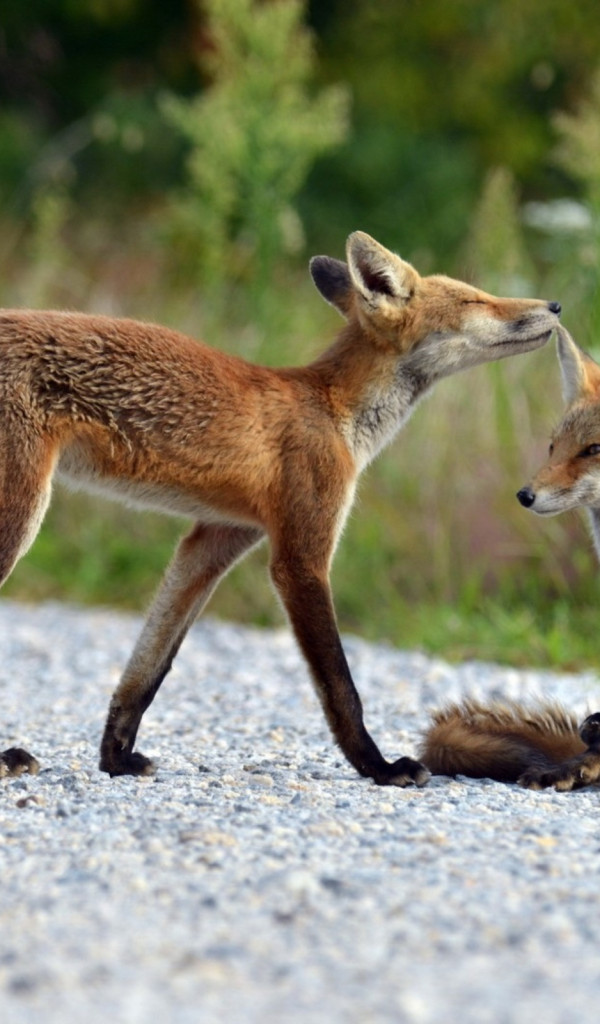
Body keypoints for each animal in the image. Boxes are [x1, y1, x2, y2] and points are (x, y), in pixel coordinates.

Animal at [0, 232, 561, 782]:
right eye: (475, 300)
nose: (555, 305)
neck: (336, 414)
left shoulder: (215, 539)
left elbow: (149, 667)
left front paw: (114, 759)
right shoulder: (299, 557)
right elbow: (341, 687)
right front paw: (378, 767)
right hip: (21, 515)